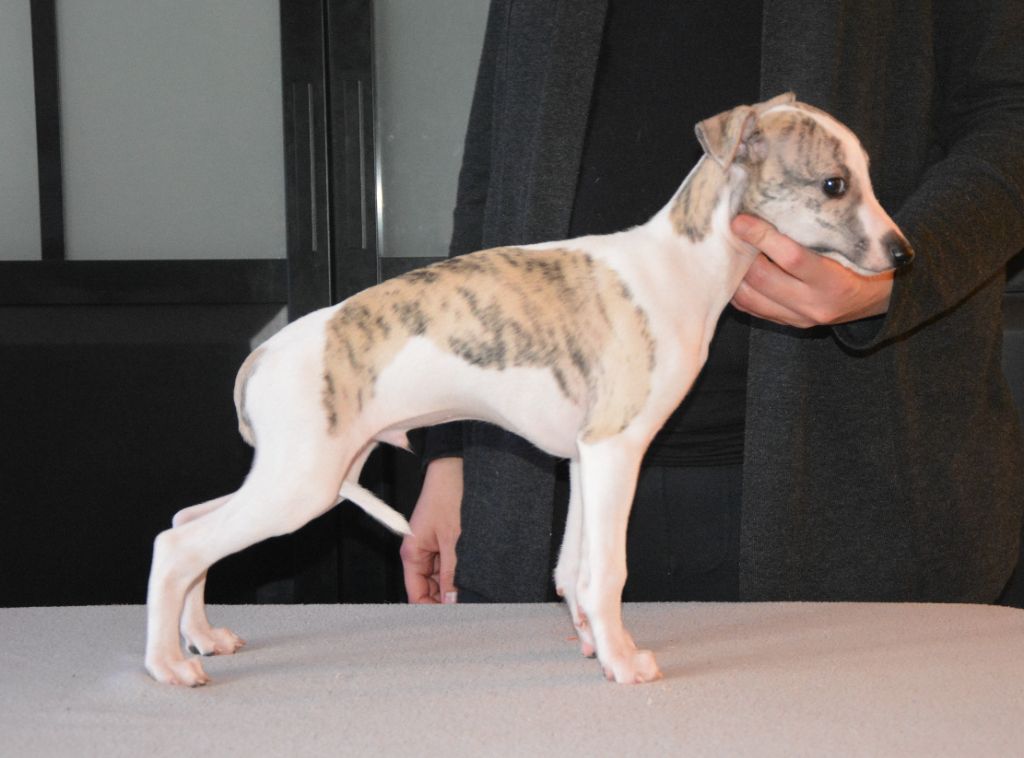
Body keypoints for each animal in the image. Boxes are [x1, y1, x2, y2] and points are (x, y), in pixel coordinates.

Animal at [145, 93, 913, 686]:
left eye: (864, 175)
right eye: (834, 184)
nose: (905, 257)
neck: (680, 264)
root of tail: (265, 355)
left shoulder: (582, 457)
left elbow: (573, 569)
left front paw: (594, 644)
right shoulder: (615, 448)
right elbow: (607, 571)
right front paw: (624, 662)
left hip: (305, 475)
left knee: (186, 523)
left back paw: (202, 636)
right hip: (302, 484)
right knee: (178, 545)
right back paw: (170, 666)